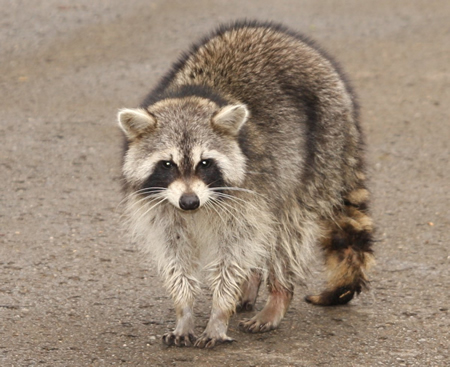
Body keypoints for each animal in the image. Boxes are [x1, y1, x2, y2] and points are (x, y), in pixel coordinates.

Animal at [118, 20, 374, 350]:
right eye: (167, 164)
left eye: (205, 163)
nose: (189, 203)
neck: (192, 99)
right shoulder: (162, 206)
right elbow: (177, 256)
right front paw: (184, 310)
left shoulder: (249, 188)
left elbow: (234, 250)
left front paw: (219, 312)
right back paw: (250, 282)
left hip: (319, 150)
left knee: (285, 231)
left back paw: (279, 294)